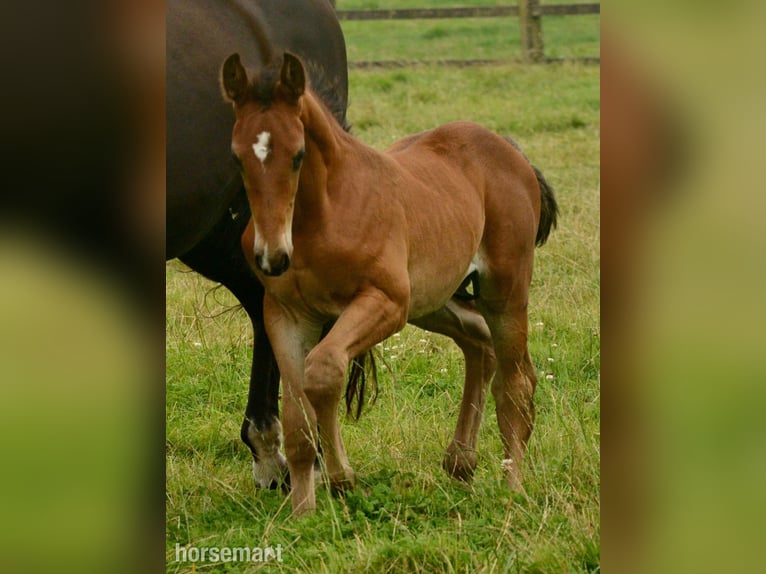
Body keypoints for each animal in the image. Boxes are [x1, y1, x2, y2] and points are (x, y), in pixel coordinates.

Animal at [222, 52, 559, 514]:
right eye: (238, 158)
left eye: (298, 155)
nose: (272, 257)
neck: (323, 214)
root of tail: (510, 150)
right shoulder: (286, 313)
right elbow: (296, 413)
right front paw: (302, 512)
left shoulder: (385, 301)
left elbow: (324, 370)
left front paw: (343, 478)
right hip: (432, 300)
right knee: (479, 343)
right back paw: (460, 462)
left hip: (501, 290)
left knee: (515, 382)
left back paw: (513, 488)